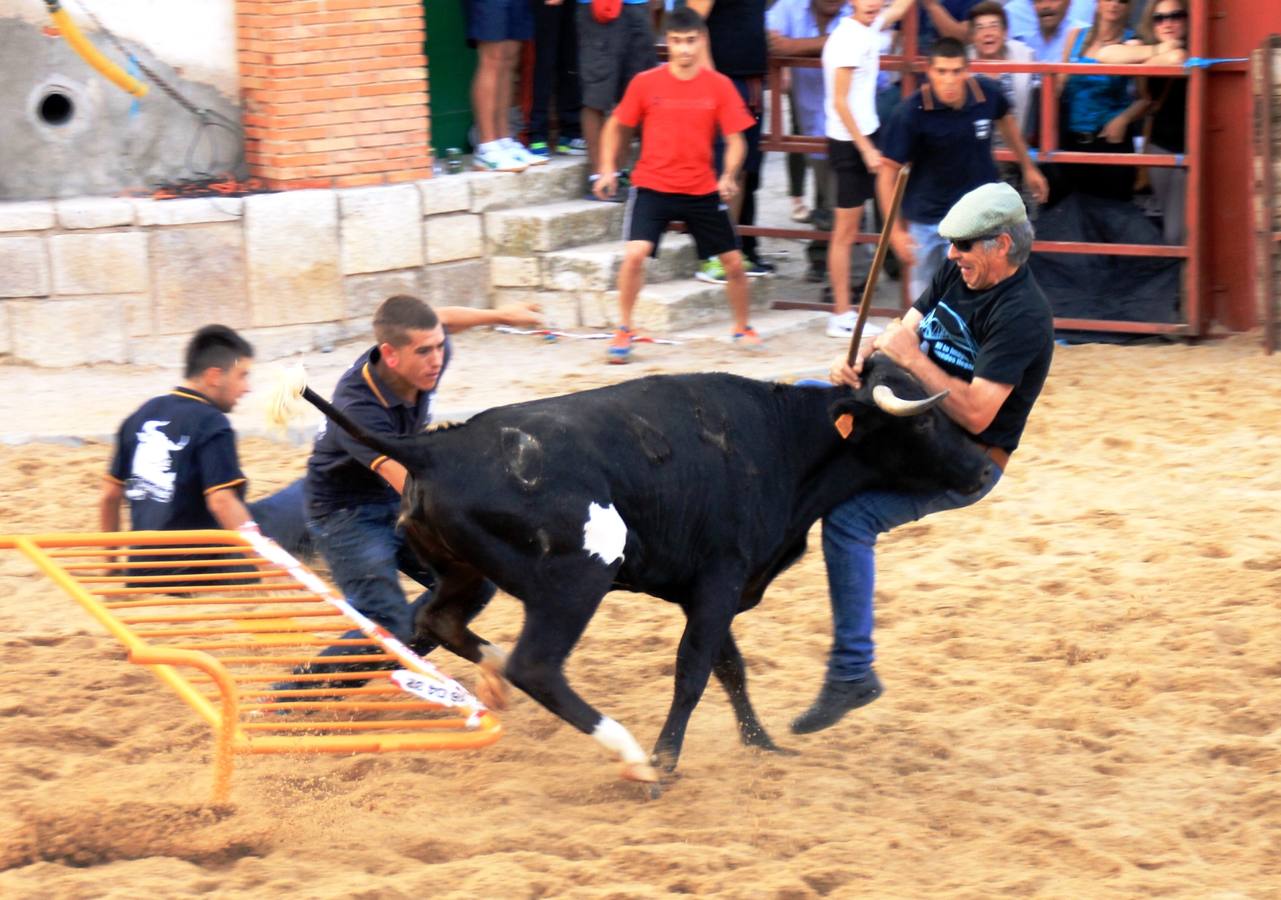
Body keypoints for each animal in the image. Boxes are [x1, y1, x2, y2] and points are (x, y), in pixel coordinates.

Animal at [297, 355, 988, 783]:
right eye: (928, 416)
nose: (983, 467)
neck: (781, 445)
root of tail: (432, 446)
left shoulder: (713, 586)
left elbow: (730, 668)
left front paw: (763, 745)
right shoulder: (718, 580)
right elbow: (693, 671)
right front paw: (667, 759)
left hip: (467, 573)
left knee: (440, 622)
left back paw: (490, 680)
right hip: (575, 581)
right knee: (535, 666)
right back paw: (631, 758)